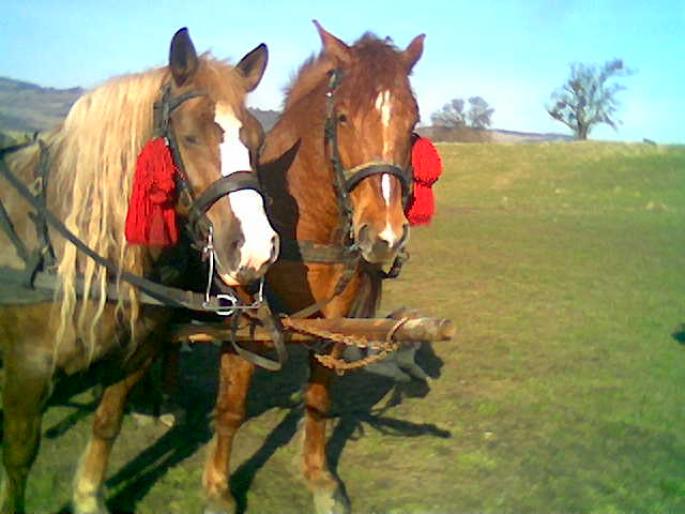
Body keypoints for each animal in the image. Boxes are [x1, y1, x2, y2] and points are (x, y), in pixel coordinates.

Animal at [0, 29, 278, 512]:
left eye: (258, 141)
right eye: (190, 136)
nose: (256, 250)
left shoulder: (134, 353)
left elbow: (106, 424)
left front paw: (89, 497)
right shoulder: (26, 371)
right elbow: (18, 458)